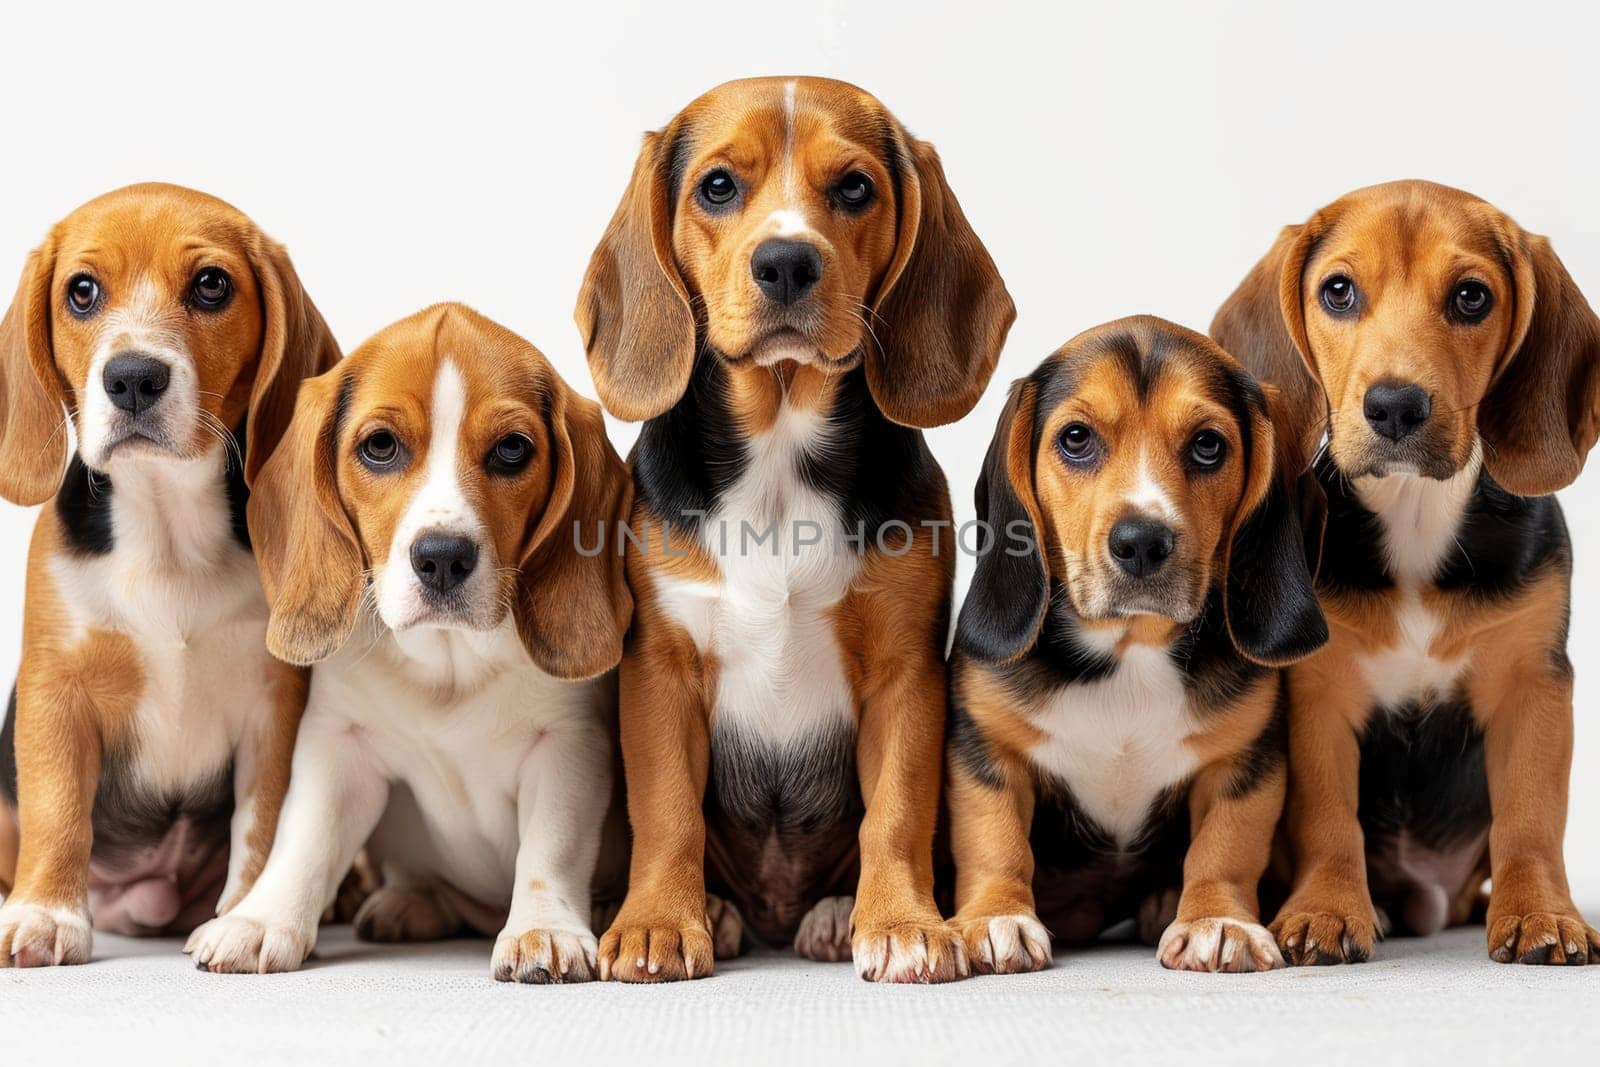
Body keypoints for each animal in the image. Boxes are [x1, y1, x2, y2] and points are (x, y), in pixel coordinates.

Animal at [0, 183, 337, 966]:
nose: (132, 378)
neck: (167, 531)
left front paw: (245, 915)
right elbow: (58, 811)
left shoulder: (272, 706)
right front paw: (46, 914)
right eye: (82, 291)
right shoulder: (55, 690)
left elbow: (261, 823)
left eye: (211, 284)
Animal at [184, 303, 633, 979]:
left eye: (512, 450)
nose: (443, 557)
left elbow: (550, 850)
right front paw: (260, 921)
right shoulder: (337, 745)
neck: (448, 664)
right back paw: (410, 902)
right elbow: (304, 838)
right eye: (380, 446)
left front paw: (544, 930)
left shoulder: (568, 746)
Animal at [582, 75, 1011, 979]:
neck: (779, 449)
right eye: (717, 186)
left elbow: (896, 814)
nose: (785, 262)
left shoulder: (903, 673)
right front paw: (659, 922)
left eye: (853, 187)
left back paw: (836, 913)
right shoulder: (661, 670)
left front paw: (902, 923)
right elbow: (666, 813)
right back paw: (715, 910)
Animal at [947, 316, 1324, 979]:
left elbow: (1226, 847)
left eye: (1208, 445)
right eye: (1076, 439)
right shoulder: (986, 747)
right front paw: (997, 917)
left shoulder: (1244, 759)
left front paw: (1216, 921)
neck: (1129, 650)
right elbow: (994, 839)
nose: (1142, 542)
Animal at [1209, 179, 1600, 966]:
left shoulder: (1534, 685)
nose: (1394, 405)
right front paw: (1327, 910)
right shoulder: (1320, 694)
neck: (1416, 514)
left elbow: (1531, 818)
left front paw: (1541, 911)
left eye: (1472, 297)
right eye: (1338, 291)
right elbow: (1330, 819)